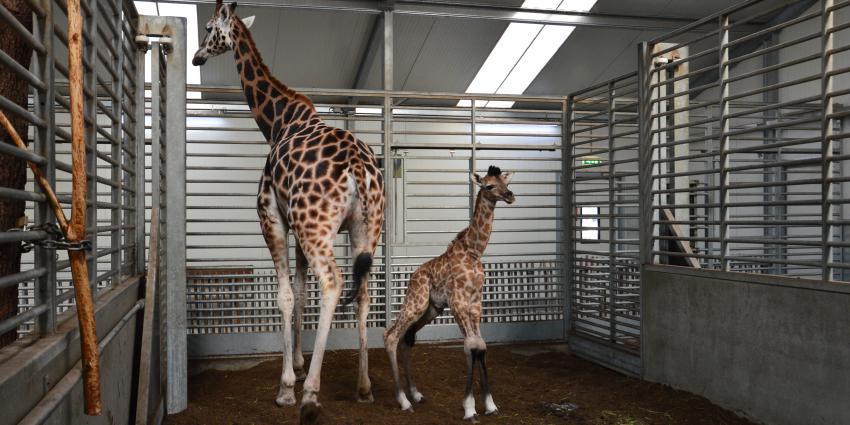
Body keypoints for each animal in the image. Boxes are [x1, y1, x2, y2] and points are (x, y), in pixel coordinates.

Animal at [192, 2, 385, 423]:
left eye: (209, 28)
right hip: (366, 227)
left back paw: (310, 396)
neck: (277, 121)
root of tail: (359, 166)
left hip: (319, 228)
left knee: (333, 283)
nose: (197, 56)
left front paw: (287, 385)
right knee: (362, 292)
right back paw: (364, 386)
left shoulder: (272, 218)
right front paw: (296, 362)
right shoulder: (298, 227)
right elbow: (299, 290)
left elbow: (284, 295)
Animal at [383, 165, 515, 421]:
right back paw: (403, 401)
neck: (474, 252)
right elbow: (470, 346)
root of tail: (412, 278)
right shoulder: (458, 302)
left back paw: (416, 394)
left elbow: (481, 346)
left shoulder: (475, 303)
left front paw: (490, 404)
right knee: (391, 336)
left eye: (505, 182)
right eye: (489, 185)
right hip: (416, 302)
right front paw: (470, 409)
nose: (510, 195)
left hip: (431, 310)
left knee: (405, 341)